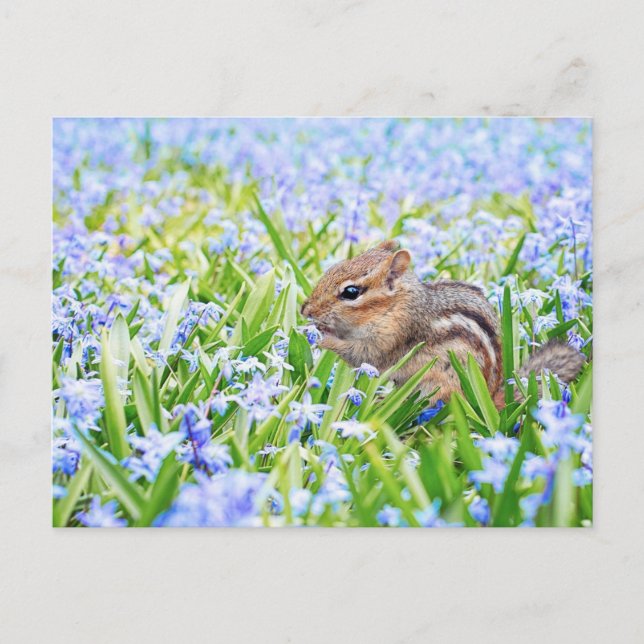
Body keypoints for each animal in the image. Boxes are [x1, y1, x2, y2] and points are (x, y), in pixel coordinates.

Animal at [301, 240, 584, 410]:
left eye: (351, 292)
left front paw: (319, 335)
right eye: (333, 267)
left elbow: (360, 354)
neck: (394, 306)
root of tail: (490, 398)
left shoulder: (391, 338)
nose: (305, 310)